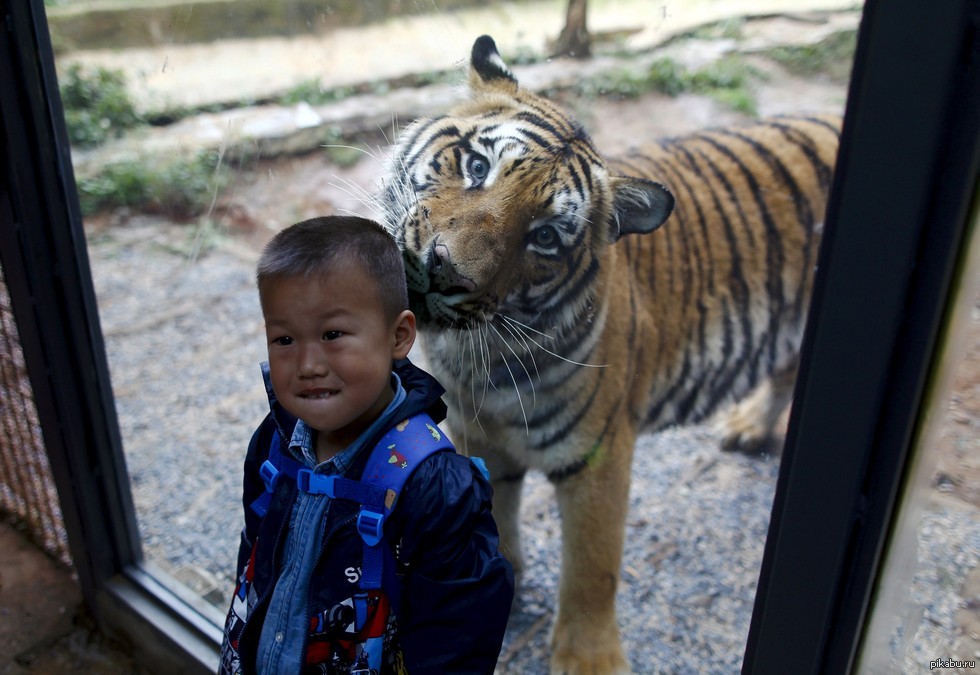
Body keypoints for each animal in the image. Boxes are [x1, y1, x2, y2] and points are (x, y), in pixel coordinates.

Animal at [378, 34, 840, 672]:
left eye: (545, 236)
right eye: (477, 167)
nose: (446, 272)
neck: (476, 356)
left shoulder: (596, 458)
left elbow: (591, 570)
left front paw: (588, 659)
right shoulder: (476, 435)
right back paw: (747, 425)